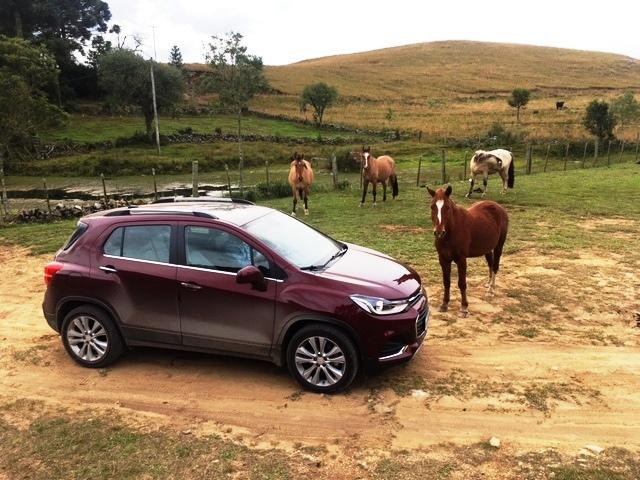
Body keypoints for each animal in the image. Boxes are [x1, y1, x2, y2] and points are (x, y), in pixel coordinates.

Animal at [428, 186, 508, 316]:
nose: (439, 232)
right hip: (487, 249)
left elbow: (462, 283)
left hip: (499, 246)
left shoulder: (461, 260)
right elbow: (446, 282)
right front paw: (444, 304)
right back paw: (488, 284)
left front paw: (464, 307)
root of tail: (498, 207)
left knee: (495, 266)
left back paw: (491, 290)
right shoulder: (443, 259)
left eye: (447, 207)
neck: (452, 231)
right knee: (490, 265)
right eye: (432, 206)